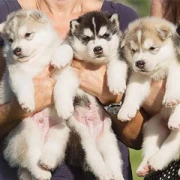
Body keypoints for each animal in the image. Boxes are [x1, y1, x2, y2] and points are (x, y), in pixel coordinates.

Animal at [0, 10, 75, 180]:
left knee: (50, 150)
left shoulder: (66, 74)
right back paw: (41, 172)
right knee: (30, 159)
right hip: (26, 131)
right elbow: (24, 85)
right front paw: (27, 102)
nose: (16, 50)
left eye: (28, 34)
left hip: (60, 131)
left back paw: (46, 163)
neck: (36, 59)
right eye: (11, 40)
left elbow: (65, 51)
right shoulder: (15, 72)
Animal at [62, 11, 127, 180]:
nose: (98, 48)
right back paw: (104, 172)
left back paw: (115, 174)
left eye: (105, 35)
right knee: (92, 158)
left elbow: (116, 64)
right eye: (87, 38)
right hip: (80, 137)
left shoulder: (119, 55)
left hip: (109, 140)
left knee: (114, 160)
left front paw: (116, 84)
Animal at [116, 17, 180, 177]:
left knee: (172, 145)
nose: (139, 62)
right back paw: (146, 165)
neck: (159, 68)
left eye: (152, 48)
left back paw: (158, 160)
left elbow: (174, 83)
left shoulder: (176, 66)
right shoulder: (138, 77)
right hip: (153, 127)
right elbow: (133, 92)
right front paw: (125, 110)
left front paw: (171, 100)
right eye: (133, 50)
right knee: (153, 147)